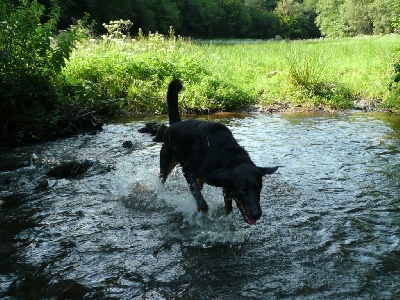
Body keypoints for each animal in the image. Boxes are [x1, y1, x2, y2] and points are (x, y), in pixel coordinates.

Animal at [159, 79, 278, 225]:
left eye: (258, 187)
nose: (257, 214)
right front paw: (202, 213)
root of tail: (175, 123)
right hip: (167, 162)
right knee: (163, 181)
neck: (224, 154)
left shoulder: (225, 186)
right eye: (242, 189)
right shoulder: (188, 170)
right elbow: (202, 202)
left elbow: (227, 208)